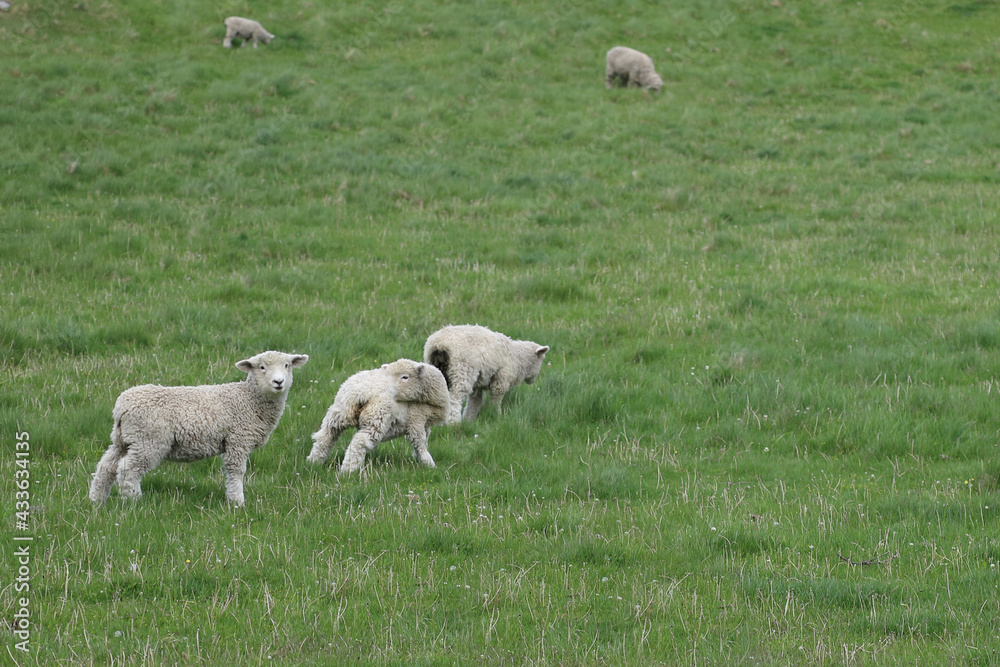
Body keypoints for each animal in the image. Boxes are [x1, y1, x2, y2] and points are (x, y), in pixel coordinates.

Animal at [89, 351, 308, 506]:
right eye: (262, 367)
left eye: (287, 365)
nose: (278, 382)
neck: (249, 399)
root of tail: (122, 407)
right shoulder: (238, 439)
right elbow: (236, 471)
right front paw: (237, 502)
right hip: (148, 440)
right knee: (128, 469)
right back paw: (133, 500)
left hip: (124, 439)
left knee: (106, 466)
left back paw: (97, 500)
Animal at [308, 359, 449, 474]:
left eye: (405, 377)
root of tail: (358, 393)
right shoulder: (416, 419)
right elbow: (420, 443)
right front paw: (429, 464)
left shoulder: (423, 423)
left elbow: (424, 439)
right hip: (376, 418)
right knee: (359, 442)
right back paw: (348, 470)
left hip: (339, 413)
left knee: (326, 436)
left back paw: (313, 462)